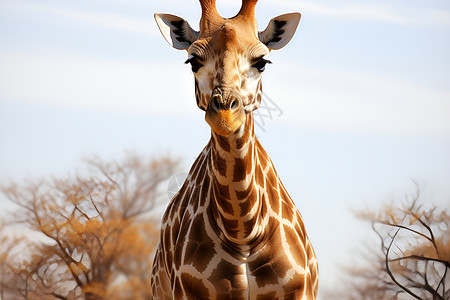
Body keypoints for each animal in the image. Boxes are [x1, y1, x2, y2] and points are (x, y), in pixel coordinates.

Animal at [153, 1, 318, 298]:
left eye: (262, 62)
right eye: (193, 61)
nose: (225, 116)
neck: (243, 230)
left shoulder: (300, 290)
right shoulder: (187, 291)